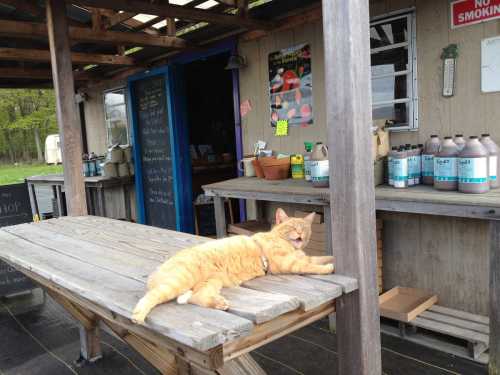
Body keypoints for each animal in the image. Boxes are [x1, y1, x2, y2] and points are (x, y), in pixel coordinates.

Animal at [132, 209, 336, 326]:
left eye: (305, 228)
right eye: (292, 227)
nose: (300, 233)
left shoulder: (303, 256)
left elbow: (319, 258)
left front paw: (332, 258)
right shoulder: (287, 263)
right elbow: (310, 265)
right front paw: (328, 268)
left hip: (211, 282)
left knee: (196, 297)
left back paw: (219, 303)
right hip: (180, 280)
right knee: (150, 296)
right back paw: (138, 316)